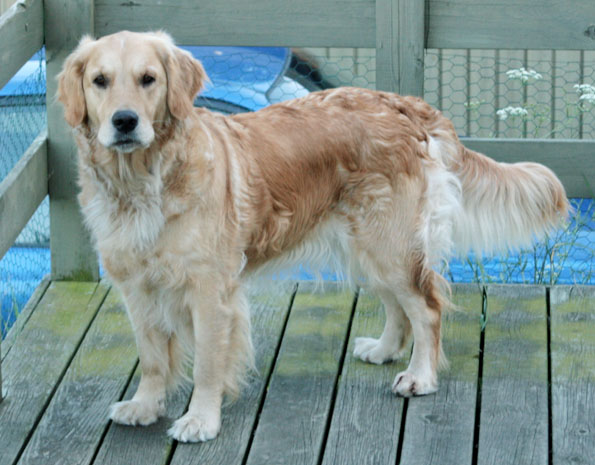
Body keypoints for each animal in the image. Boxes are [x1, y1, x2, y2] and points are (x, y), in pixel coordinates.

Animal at [57, 31, 568, 442]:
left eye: (148, 79)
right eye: (100, 81)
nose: (124, 121)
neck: (142, 182)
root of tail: (403, 103)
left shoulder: (209, 291)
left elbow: (206, 361)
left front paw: (201, 420)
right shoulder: (136, 288)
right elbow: (152, 356)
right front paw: (145, 405)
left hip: (389, 244)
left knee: (426, 308)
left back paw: (419, 376)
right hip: (364, 245)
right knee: (398, 308)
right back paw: (384, 350)